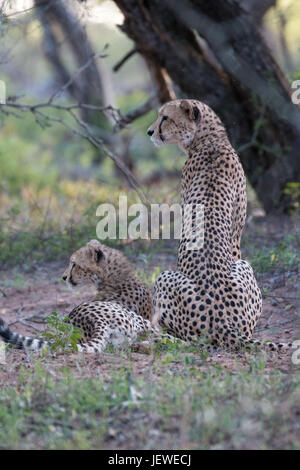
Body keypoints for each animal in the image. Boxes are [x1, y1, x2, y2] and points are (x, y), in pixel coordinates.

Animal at [148, 99, 292, 352]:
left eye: (165, 117)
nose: (149, 131)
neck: (210, 139)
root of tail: (225, 323)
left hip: (167, 276)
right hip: (241, 268)